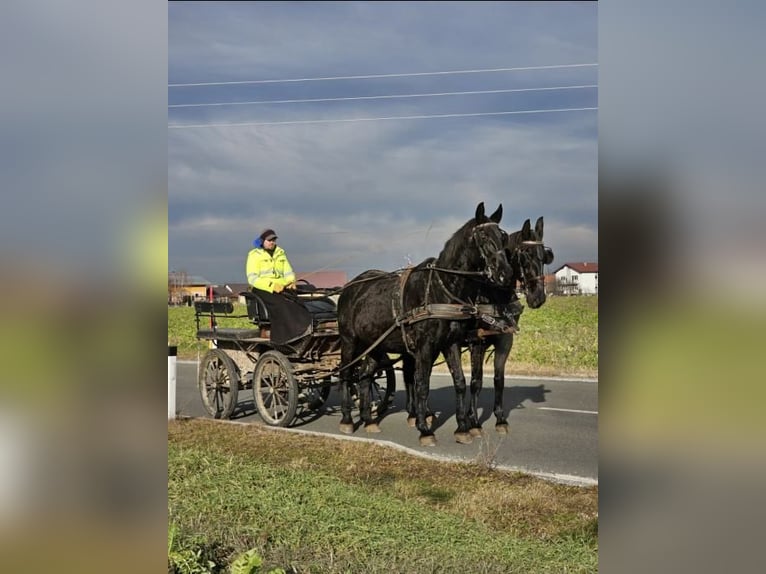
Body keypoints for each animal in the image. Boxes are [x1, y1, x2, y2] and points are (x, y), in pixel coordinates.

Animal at [338, 205, 512, 448]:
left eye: (503, 237)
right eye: (484, 236)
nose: (505, 274)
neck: (442, 289)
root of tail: (350, 287)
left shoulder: (451, 344)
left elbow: (460, 382)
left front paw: (462, 428)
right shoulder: (425, 348)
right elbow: (422, 385)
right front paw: (424, 429)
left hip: (374, 346)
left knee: (365, 376)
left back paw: (368, 419)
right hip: (349, 341)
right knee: (346, 374)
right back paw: (346, 419)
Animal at [444, 216, 552, 446]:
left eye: (544, 256)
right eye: (525, 254)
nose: (538, 298)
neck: (493, 295)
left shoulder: (504, 340)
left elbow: (498, 380)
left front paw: (500, 419)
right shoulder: (478, 342)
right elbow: (476, 382)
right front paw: (474, 422)